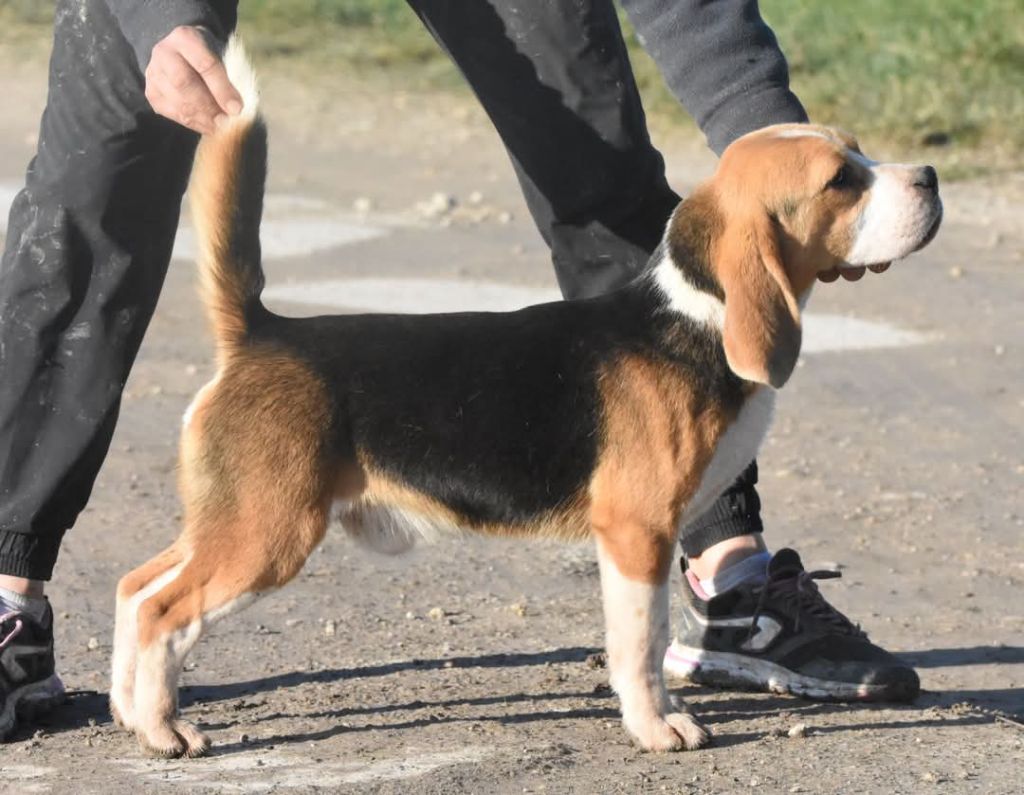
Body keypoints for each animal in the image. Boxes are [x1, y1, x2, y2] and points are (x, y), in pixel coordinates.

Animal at [108, 42, 937, 758]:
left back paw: (127, 705)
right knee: (164, 610)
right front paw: (657, 725)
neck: (695, 313)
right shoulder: (635, 531)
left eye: (861, 152)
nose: (930, 175)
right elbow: (639, 644)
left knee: (134, 585)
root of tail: (261, 329)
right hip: (268, 533)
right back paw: (163, 729)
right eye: (840, 181)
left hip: (232, 521)